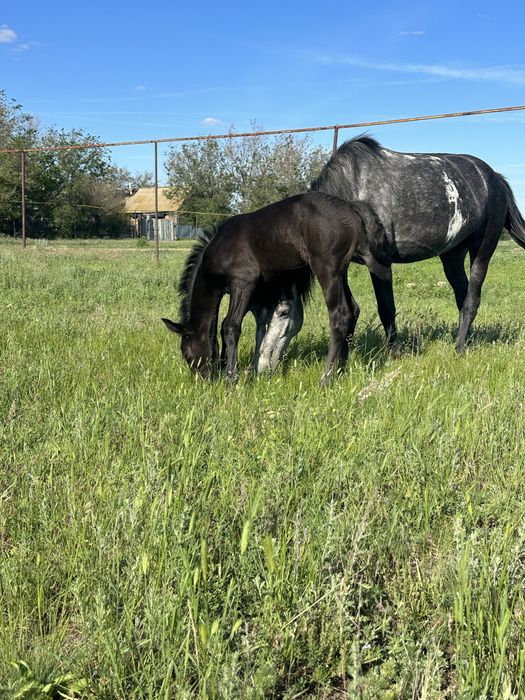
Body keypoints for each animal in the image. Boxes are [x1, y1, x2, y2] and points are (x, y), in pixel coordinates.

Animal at [162, 191, 389, 383]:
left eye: (186, 353)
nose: (204, 379)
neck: (217, 250)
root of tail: (352, 208)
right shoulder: (260, 293)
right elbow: (254, 328)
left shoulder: (244, 283)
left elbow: (230, 326)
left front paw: (232, 379)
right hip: (341, 271)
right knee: (353, 309)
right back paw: (340, 369)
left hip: (327, 269)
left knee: (340, 315)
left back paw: (326, 378)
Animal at [256, 135, 525, 363]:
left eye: (281, 312)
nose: (262, 363)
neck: (353, 191)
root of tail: (495, 178)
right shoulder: (341, 265)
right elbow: (352, 309)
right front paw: (345, 358)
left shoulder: (379, 262)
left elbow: (386, 309)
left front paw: (394, 354)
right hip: (452, 256)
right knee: (463, 296)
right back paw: (464, 342)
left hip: (483, 249)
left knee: (472, 299)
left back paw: (458, 349)